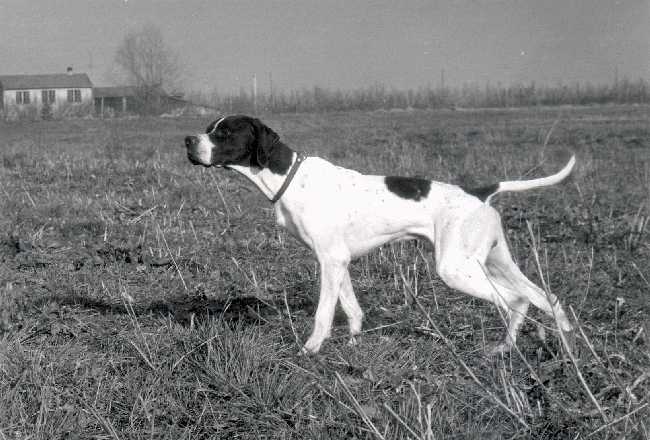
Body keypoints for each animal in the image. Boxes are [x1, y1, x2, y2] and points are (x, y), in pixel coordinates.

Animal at [182, 114, 572, 354]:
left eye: (225, 133)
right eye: (209, 127)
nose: (187, 140)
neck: (288, 176)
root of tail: (479, 191)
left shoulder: (331, 261)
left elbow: (324, 313)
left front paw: (310, 349)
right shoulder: (338, 261)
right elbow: (352, 307)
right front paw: (354, 343)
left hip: (457, 269)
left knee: (515, 300)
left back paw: (514, 346)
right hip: (492, 261)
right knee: (541, 296)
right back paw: (552, 341)